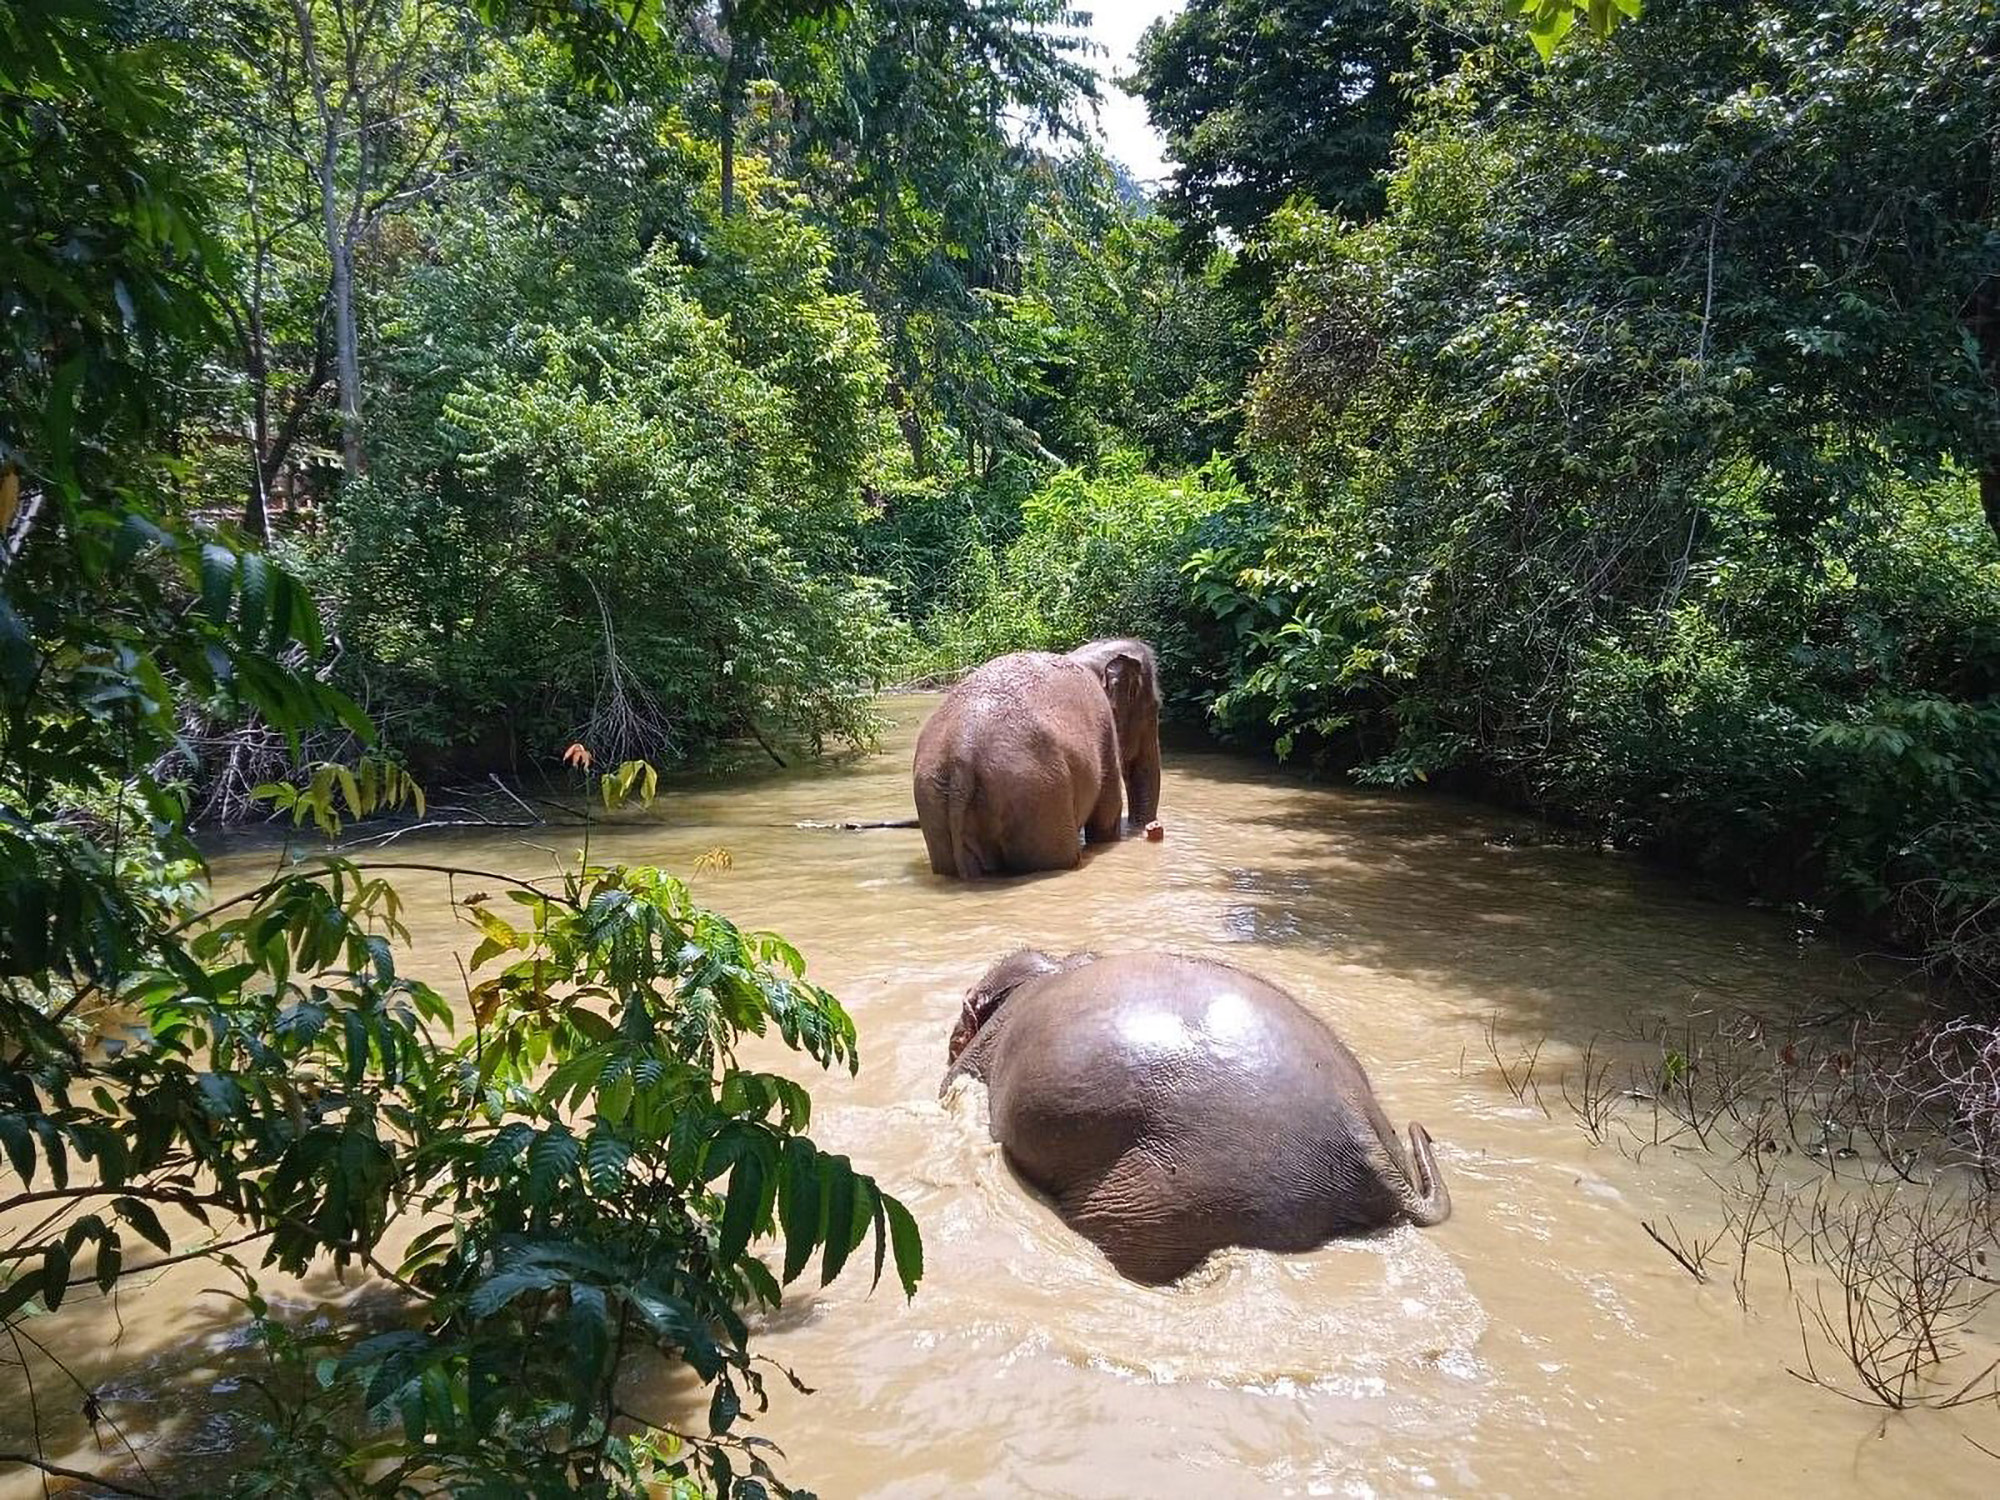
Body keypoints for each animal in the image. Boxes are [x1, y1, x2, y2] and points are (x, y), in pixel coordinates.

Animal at [916, 636, 1168, 880]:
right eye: (1154, 708)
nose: (1153, 829)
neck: (1087, 655)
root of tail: (961, 755)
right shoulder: (1105, 732)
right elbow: (1105, 819)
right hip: (1038, 796)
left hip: (934, 802)